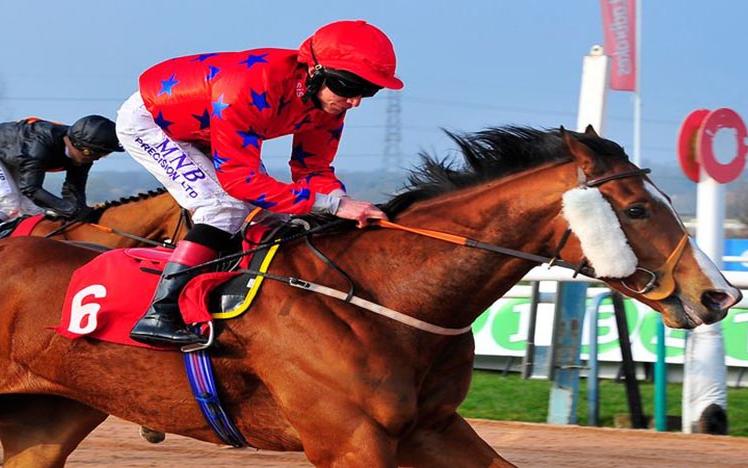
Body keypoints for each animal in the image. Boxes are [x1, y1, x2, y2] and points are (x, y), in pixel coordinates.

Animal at [0, 126, 740, 466]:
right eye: (637, 209)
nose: (719, 296)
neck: (388, 297)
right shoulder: (348, 443)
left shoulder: (431, 428)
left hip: (45, 417)